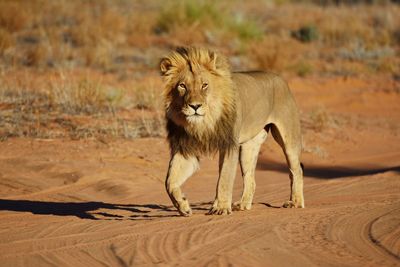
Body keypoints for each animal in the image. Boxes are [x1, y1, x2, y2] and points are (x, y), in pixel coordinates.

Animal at [159, 46, 304, 218]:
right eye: (182, 86)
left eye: (204, 85)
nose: (195, 106)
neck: (204, 122)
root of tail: (280, 78)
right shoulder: (186, 148)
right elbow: (169, 181)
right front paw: (183, 205)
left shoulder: (228, 144)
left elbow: (224, 179)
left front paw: (221, 208)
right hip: (248, 147)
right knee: (250, 178)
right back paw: (242, 205)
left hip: (288, 140)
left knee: (296, 170)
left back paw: (295, 202)